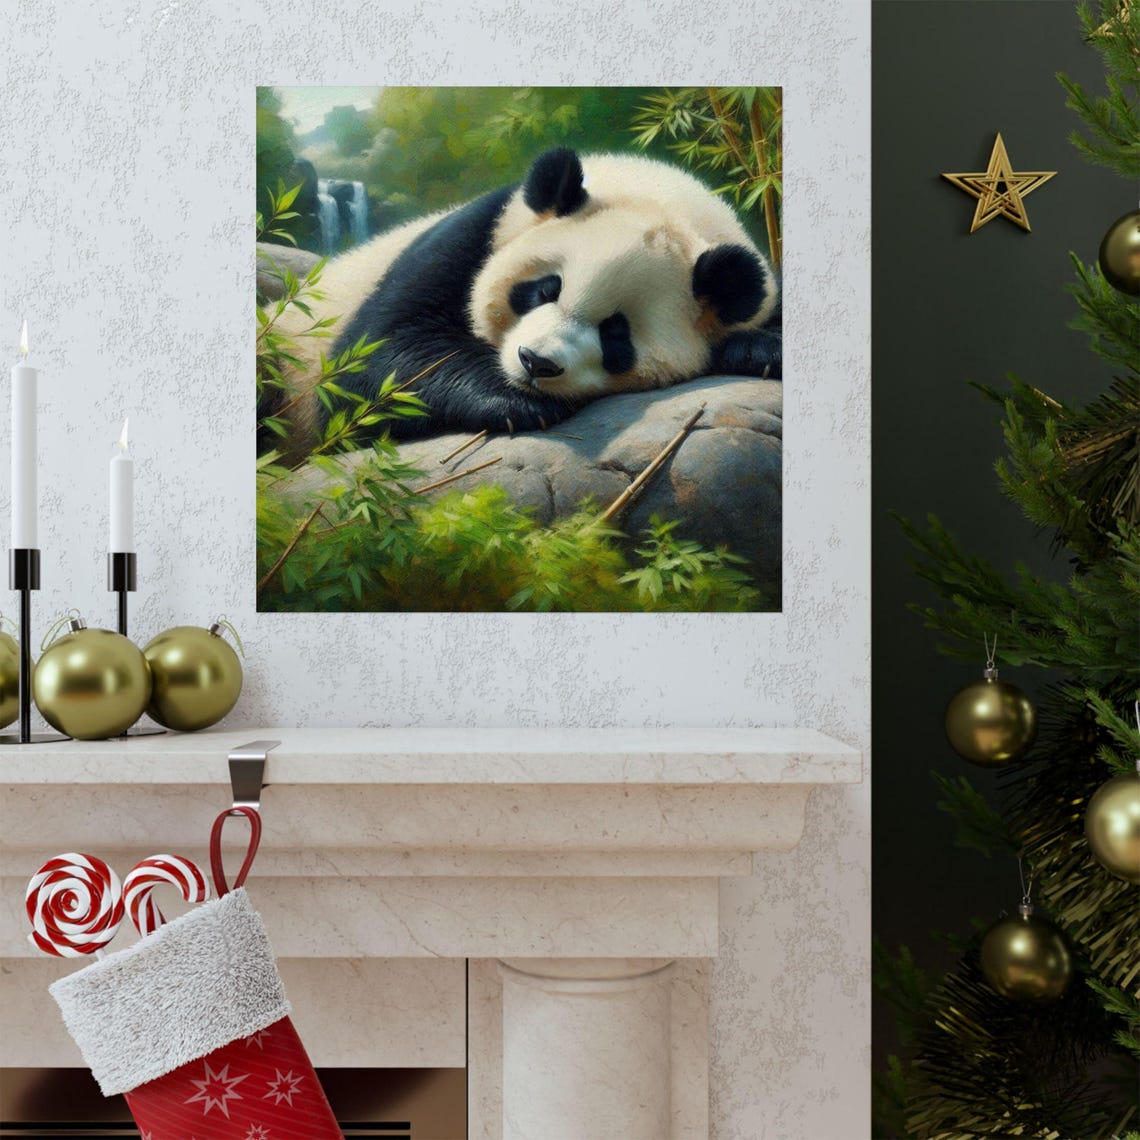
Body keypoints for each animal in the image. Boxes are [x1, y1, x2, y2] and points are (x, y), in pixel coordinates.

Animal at [273, 147, 781, 452]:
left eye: (616, 333)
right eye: (544, 289)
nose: (536, 363)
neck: (656, 194)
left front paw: (758, 349)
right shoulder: (474, 233)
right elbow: (376, 358)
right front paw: (513, 403)